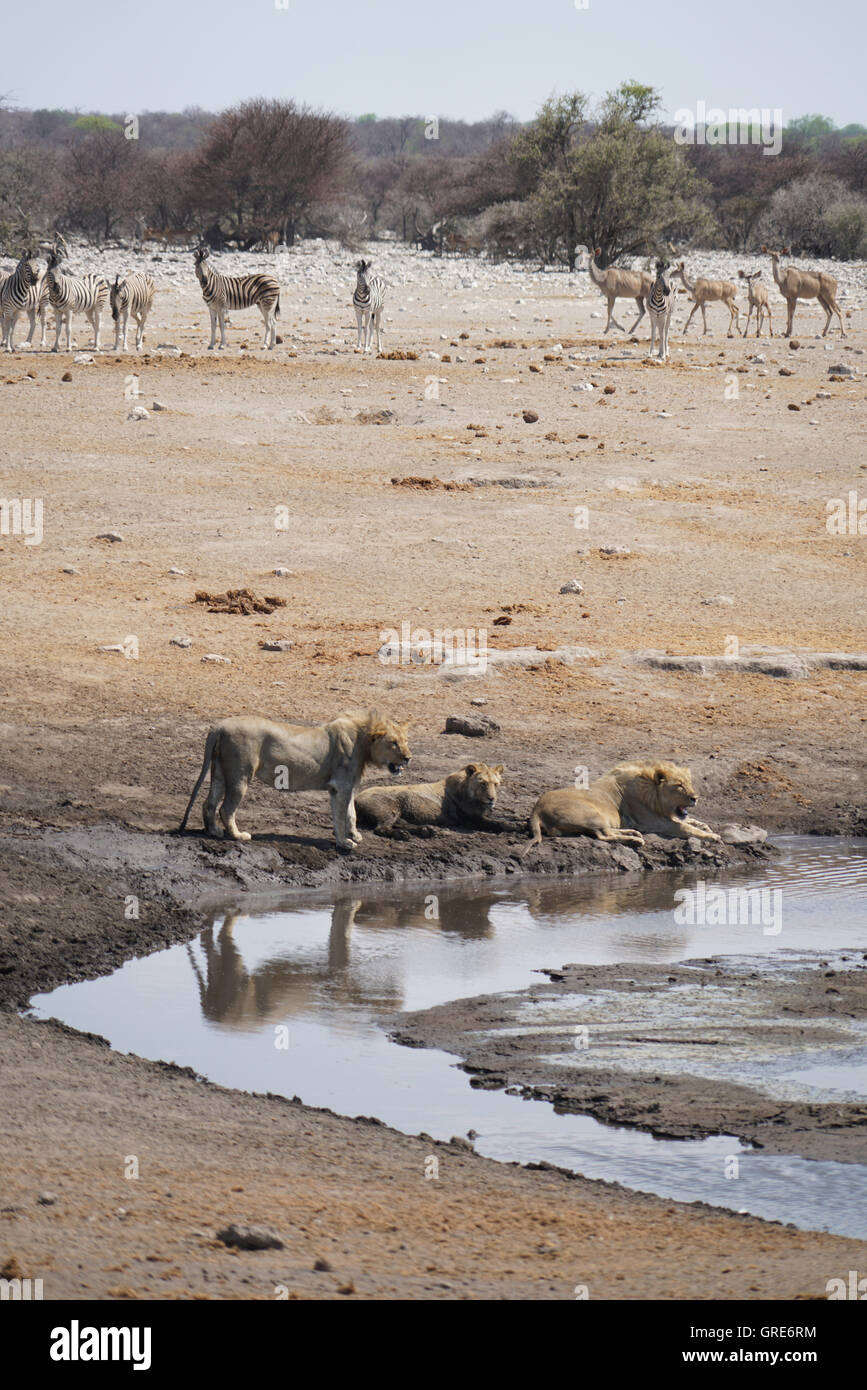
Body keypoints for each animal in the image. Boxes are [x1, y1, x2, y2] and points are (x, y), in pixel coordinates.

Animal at [177, 711, 411, 850]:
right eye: (393, 742)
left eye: (406, 740)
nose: (408, 758)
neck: (364, 741)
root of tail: (219, 727)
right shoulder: (341, 785)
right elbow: (340, 815)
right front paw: (344, 843)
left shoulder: (344, 787)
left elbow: (351, 814)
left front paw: (354, 835)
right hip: (240, 773)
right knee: (226, 809)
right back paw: (237, 835)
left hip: (218, 770)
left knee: (209, 803)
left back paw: (213, 832)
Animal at [354, 761, 505, 834]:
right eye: (483, 783)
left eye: (496, 784)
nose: (492, 799)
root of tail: (355, 798)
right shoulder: (470, 820)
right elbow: (499, 824)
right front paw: (511, 827)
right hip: (390, 808)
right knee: (381, 828)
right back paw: (403, 834)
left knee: (399, 823)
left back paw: (426, 830)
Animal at [525, 761, 722, 845]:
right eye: (679, 785)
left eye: (689, 783)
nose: (695, 798)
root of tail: (536, 808)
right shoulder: (654, 822)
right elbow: (686, 827)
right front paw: (712, 836)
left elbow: (690, 821)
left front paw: (706, 827)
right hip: (592, 814)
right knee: (604, 836)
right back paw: (635, 840)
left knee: (608, 832)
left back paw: (632, 833)